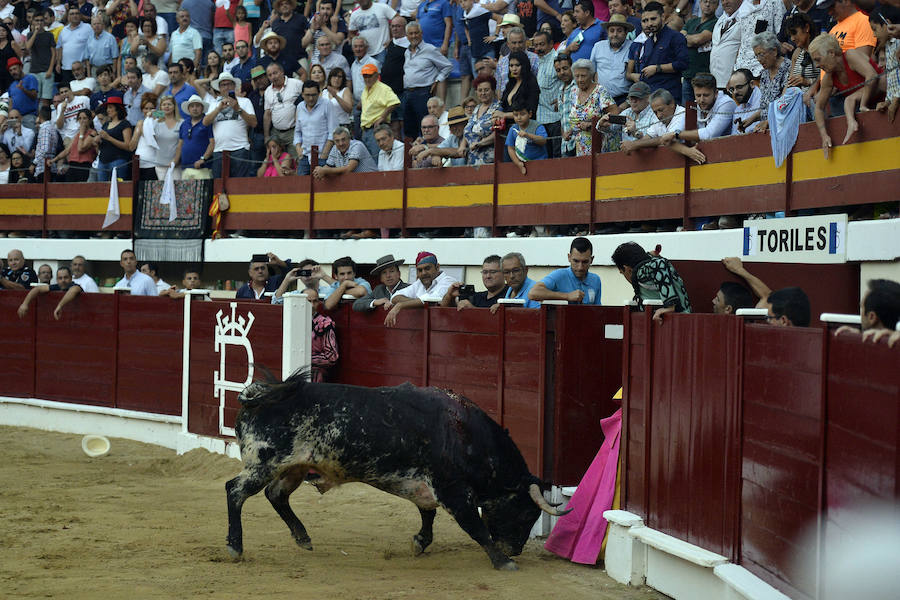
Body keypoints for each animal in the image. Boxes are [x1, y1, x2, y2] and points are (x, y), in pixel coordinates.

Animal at [225, 370, 568, 572]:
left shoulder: (426, 488)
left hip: (294, 466)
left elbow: (427, 515)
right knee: (235, 491)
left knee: (276, 495)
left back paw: (303, 538)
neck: (466, 435)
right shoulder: (453, 490)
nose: (516, 549)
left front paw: (419, 543)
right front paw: (503, 562)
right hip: (263, 463)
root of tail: (256, 398)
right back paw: (235, 547)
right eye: (526, 513)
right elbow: (475, 527)